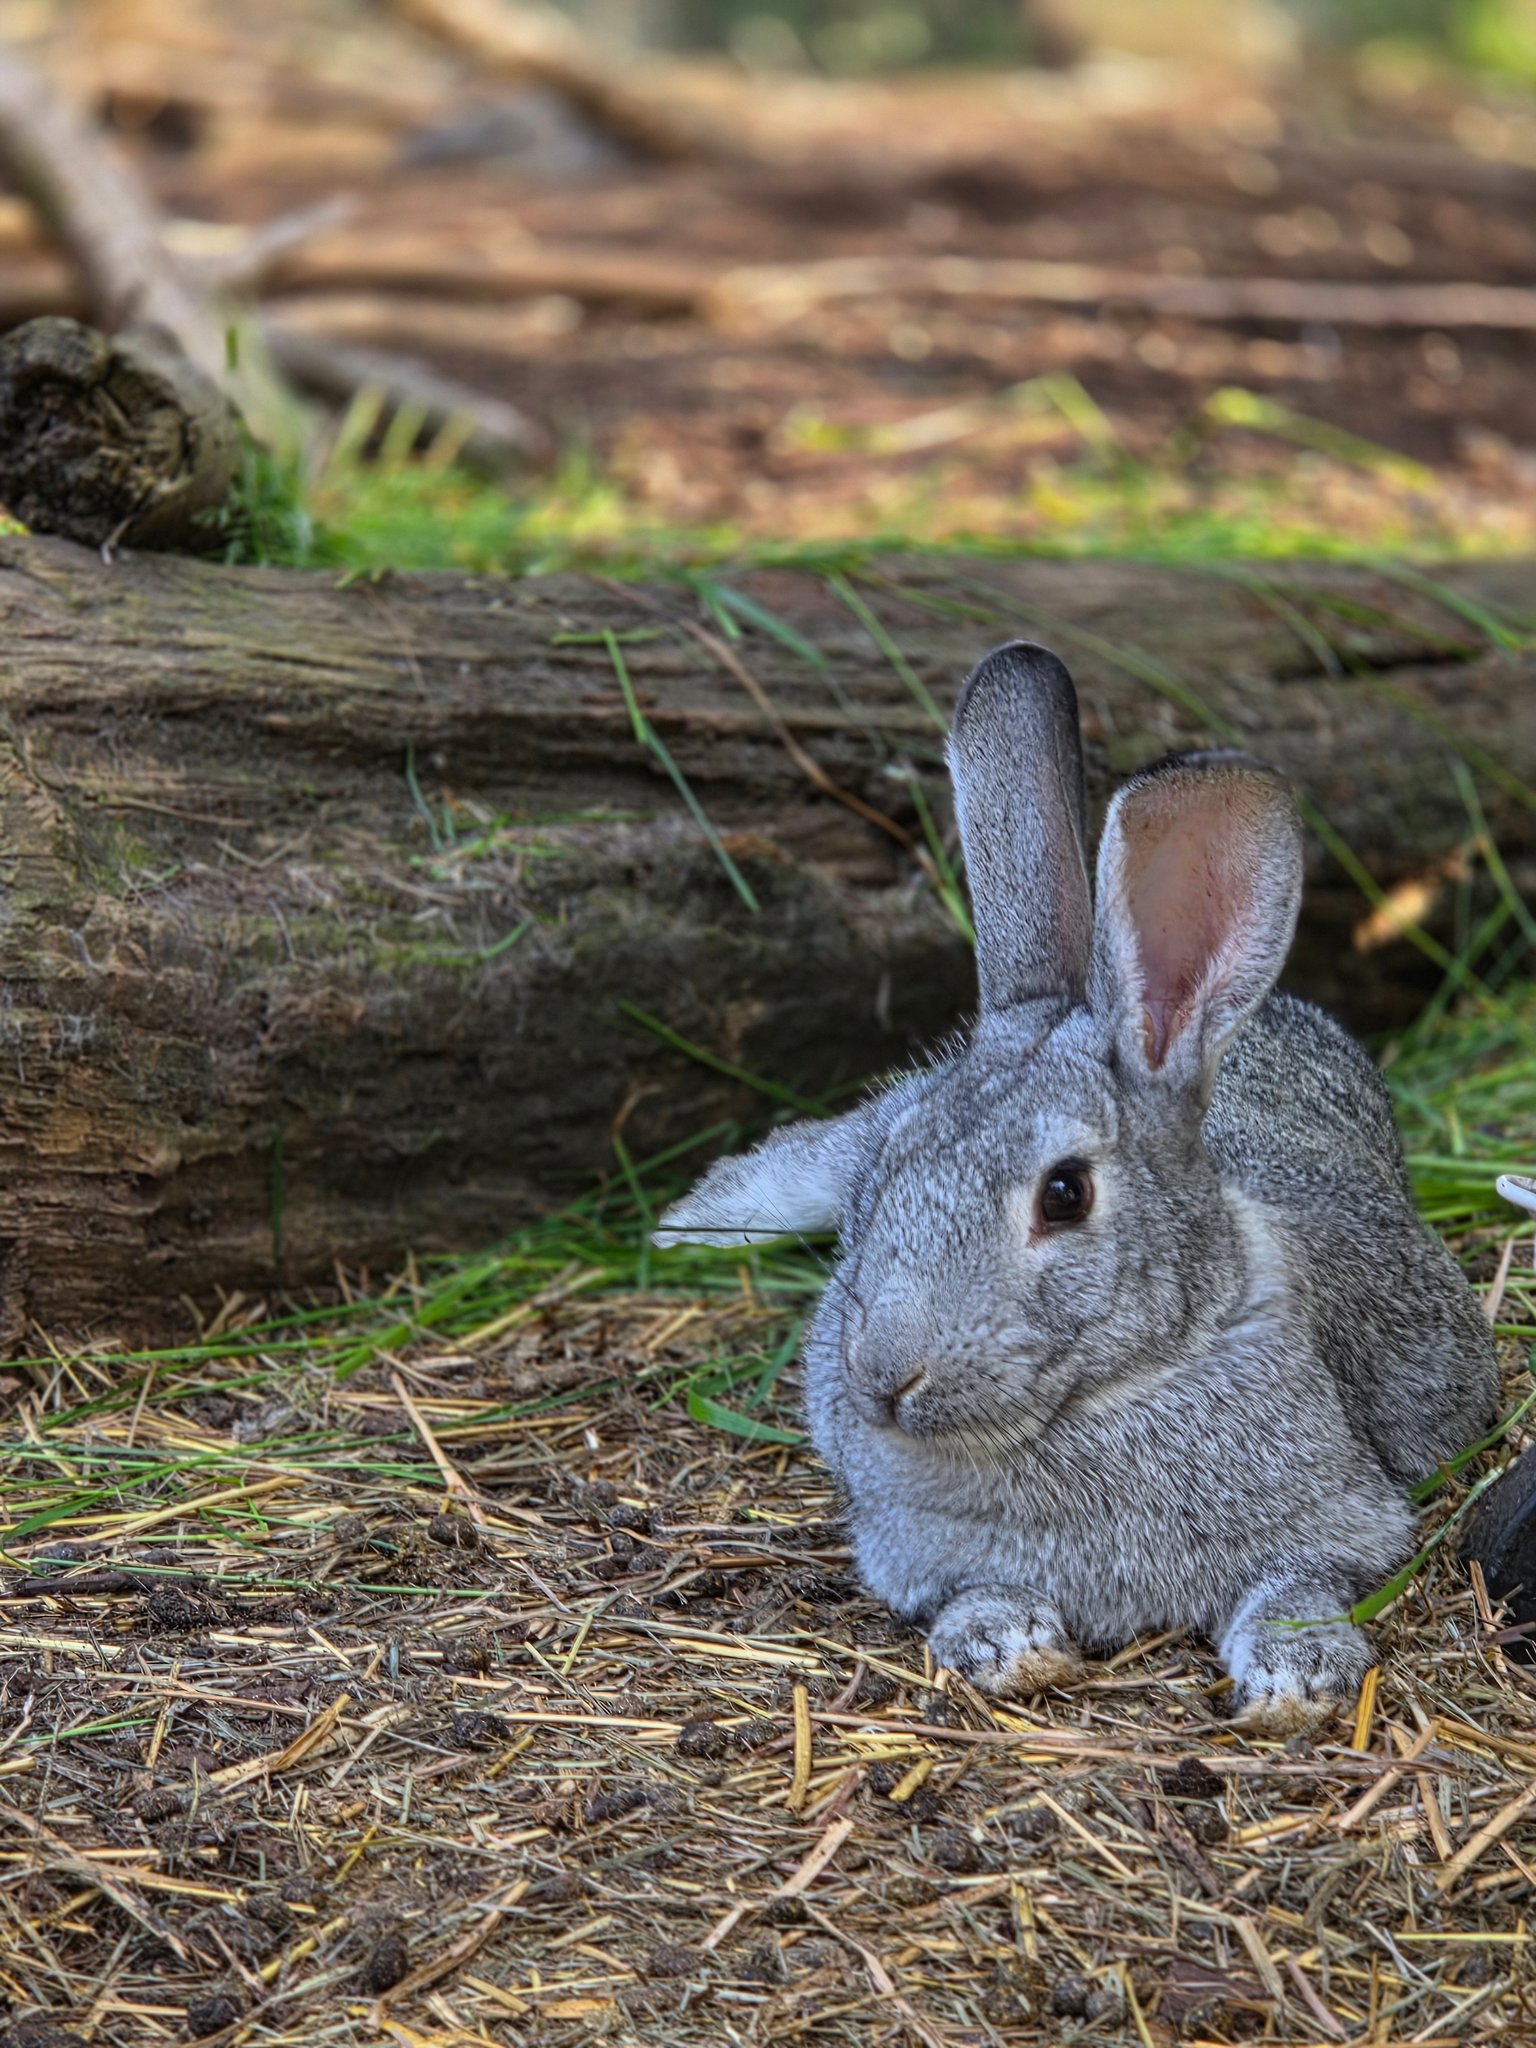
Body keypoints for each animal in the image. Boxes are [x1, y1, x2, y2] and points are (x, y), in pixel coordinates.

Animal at [654, 642, 1499, 1732]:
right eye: (889, 1172)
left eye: (1064, 1195)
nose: (883, 1377)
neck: (1120, 1380)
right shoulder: (918, 1550)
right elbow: (971, 1590)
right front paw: (1009, 1646)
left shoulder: (1342, 1520)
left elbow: (1300, 1586)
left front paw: (1295, 1680)